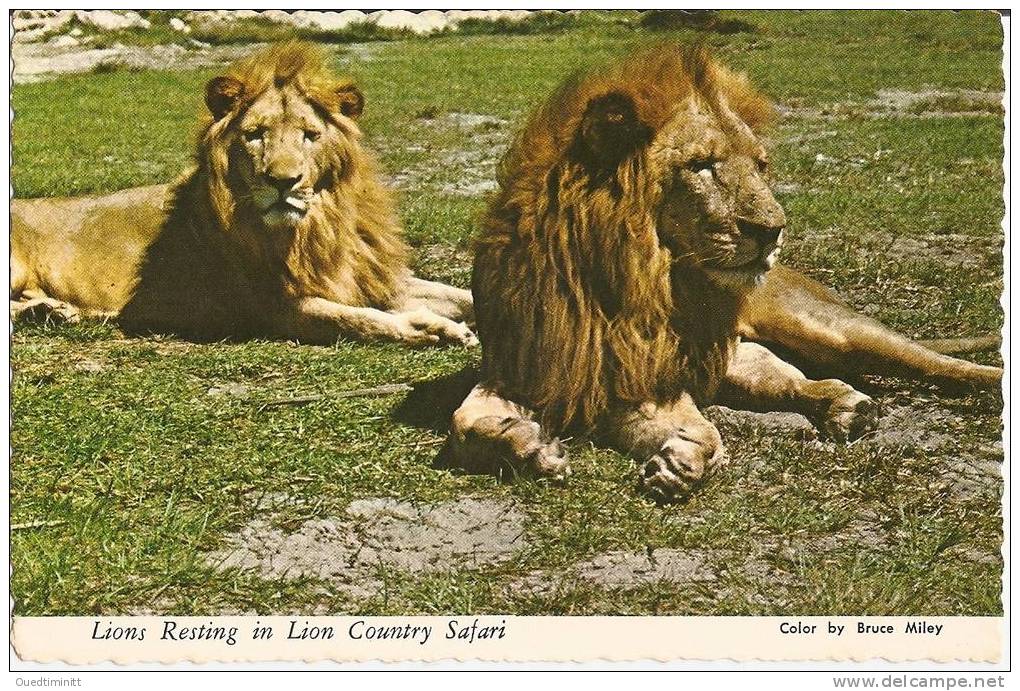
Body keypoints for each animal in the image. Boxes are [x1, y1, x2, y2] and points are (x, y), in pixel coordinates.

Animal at [11, 41, 475, 347]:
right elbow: (359, 320)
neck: (319, 227)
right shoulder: (275, 306)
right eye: (255, 135)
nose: (283, 181)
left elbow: (458, 295)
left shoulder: (373, 277)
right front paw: (431, 328)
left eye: (309, 136)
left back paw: (55, 311)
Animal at [448, 45, 1003, 504]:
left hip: (831, 329)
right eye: (702, 166)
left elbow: (704, 433)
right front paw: (527, 446)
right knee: (803, 384)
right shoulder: (529, 371)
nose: (773, 230)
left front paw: (685, 462)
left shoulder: (651, 378)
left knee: (938, 363)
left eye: (760, 166)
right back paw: (848, 408)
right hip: (741, 362)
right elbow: (463, 421)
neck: (620, 286)